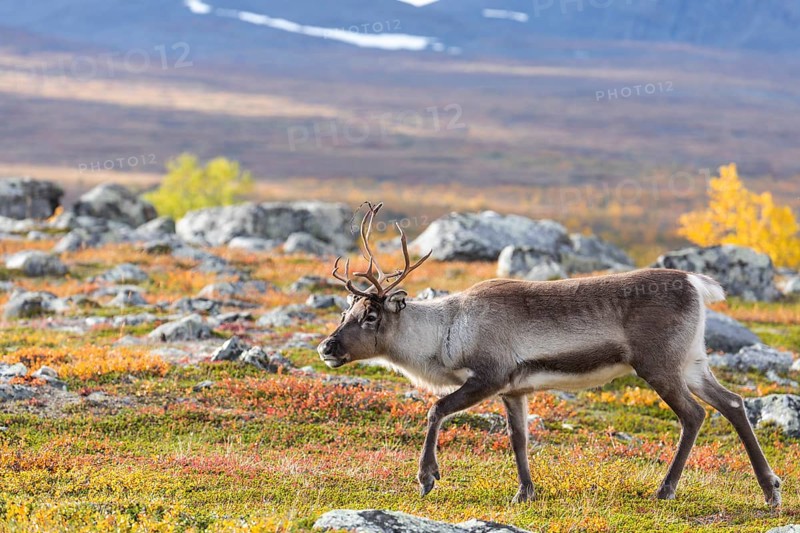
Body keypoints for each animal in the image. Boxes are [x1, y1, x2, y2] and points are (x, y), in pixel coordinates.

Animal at [317, 202, 782, 506]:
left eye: (371, 315)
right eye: (345, 311)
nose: (327, 347)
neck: (446, 332)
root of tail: (695, 282)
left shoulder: (487, 377)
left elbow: (436, 409)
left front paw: (426, 478)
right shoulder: (513, 389)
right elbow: (518, 438)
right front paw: (525, 492)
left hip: (659, 365)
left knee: (694, 414)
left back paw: (666, 490)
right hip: (693, 362)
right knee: (733, 403)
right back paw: (770, 489)